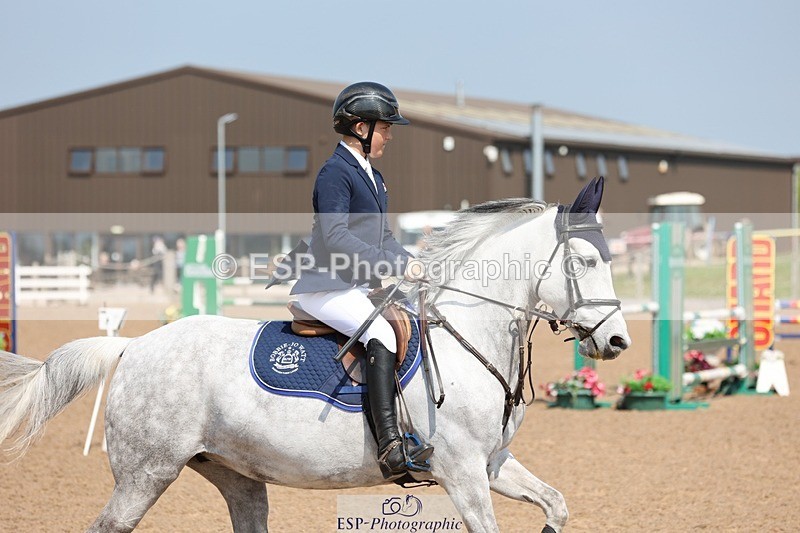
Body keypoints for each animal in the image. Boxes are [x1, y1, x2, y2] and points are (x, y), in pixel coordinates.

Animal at [0, 177, 630, 532]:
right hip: (144, 474)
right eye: (585, 262)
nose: (617, 342)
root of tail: (131, 345)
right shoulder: (463, 472)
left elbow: (556, 505)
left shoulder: (491, 464)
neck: (470, 334)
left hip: (234, 476)